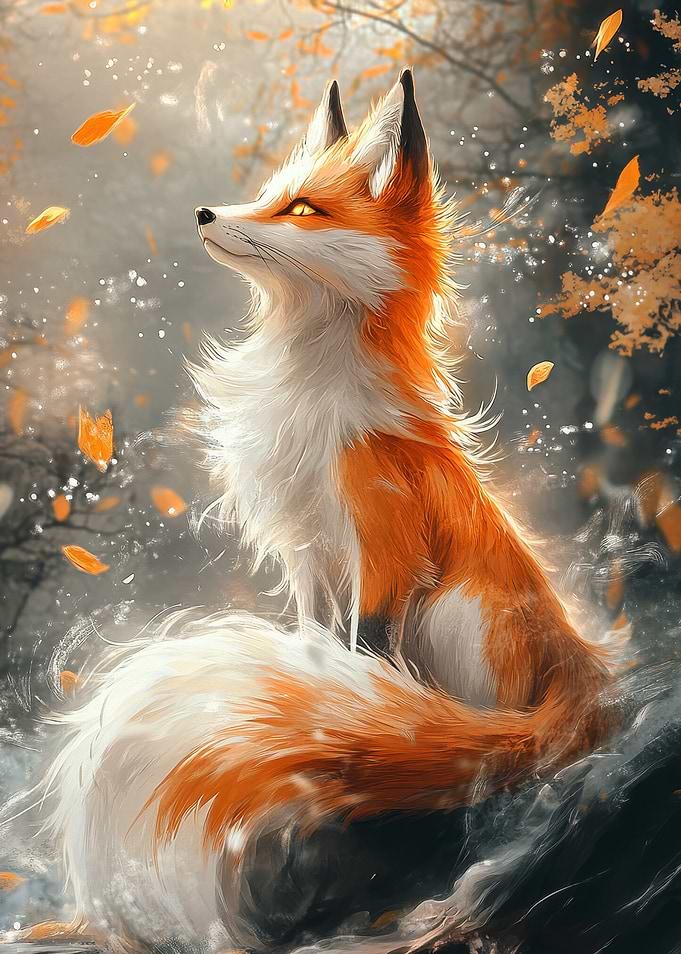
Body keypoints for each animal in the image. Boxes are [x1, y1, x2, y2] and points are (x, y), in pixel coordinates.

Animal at [19, 71, 617, 953]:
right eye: (268, 195)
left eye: (301, 209)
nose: (203, 212)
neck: (306, 393)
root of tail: (583, 674)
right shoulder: (307, 555)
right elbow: (318, 652)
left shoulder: (385, 552)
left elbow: (362, 662)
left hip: (455, 610)